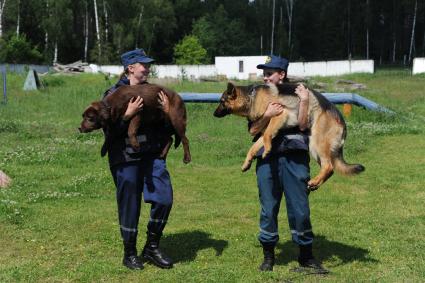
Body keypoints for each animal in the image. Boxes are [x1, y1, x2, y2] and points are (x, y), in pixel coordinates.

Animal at [214, 82, 362, 191]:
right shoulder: (265, 130)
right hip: (315, 148)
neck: (251, 97)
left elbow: (267, 135)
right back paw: (314, 183)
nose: (214, 114)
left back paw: (314, 180)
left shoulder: (280, 114)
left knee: (329, 167)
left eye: (221, 101)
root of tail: (342, 122)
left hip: (318, 143)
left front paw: (267, 150)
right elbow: (253, 147)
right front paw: (247, 163)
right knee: (330, 169)